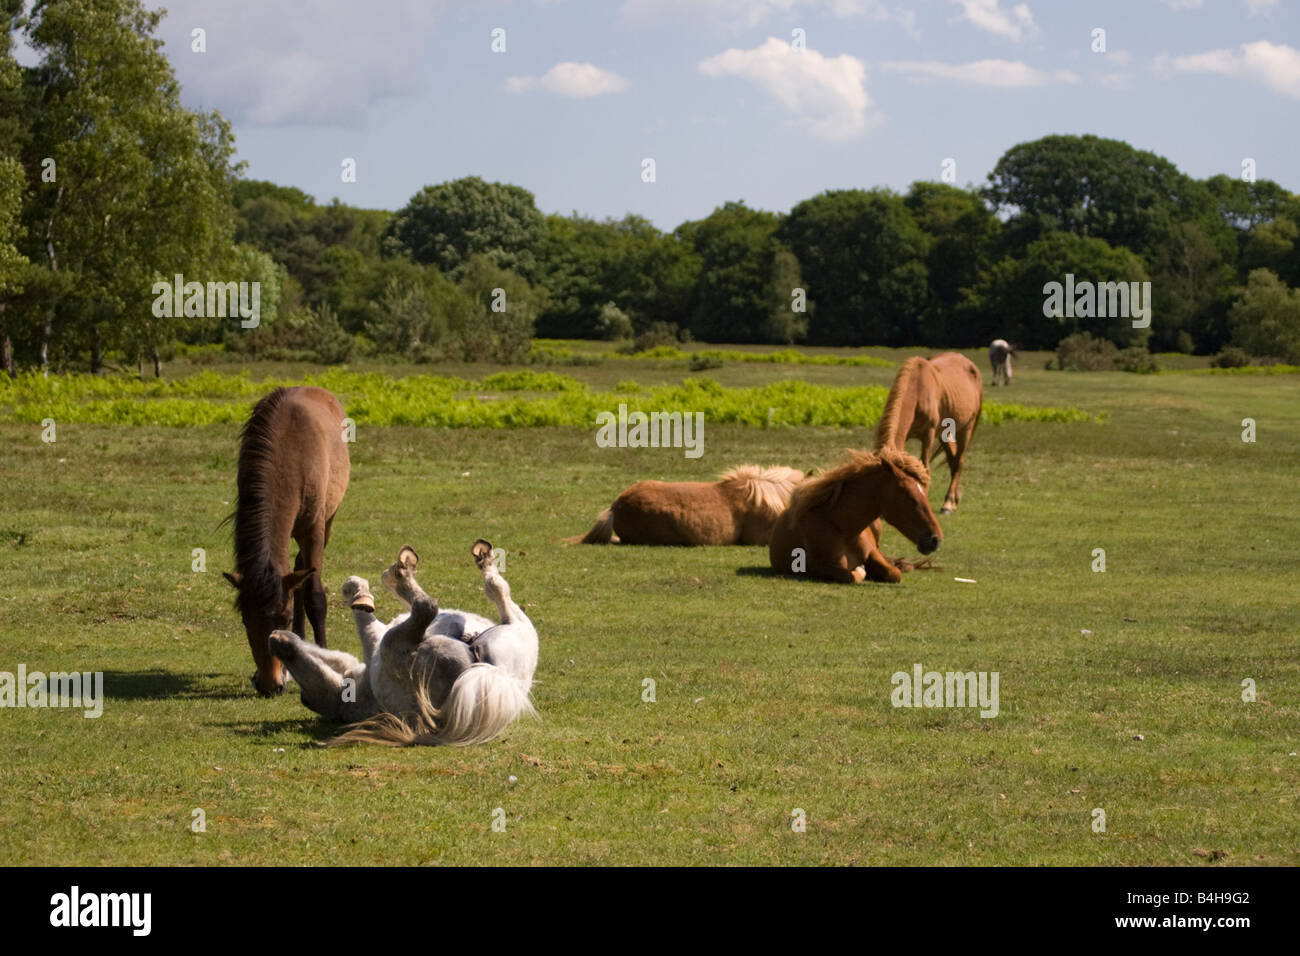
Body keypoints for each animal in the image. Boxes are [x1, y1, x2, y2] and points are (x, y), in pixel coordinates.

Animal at [222, 387, 350, 696]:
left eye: (285, 618)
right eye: (245, 620)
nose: (270, 685)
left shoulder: (314, 531)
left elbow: (315, 598)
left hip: (327, 523)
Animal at [268, 540, 538, 747]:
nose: (275, 637)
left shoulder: (374, 639)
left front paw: (359, 589)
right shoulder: (376, 640)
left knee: (441, 602)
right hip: (516, 632)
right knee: (480, 595)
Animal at [768, 447, 942, 584]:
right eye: (910, 497)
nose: (936, 539)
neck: (843, 528)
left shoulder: (873, 552)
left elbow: (894, 573)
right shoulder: (817, 566)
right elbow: (849, 576)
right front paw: (862, 571)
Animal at [874, 353, 982, 514]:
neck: (917, 390)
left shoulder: (928, 435)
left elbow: (925, 468)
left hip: (967, 427)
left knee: (958, 461)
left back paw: (948, 503)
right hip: (945, 432)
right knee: (953, 459)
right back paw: (954, 499)